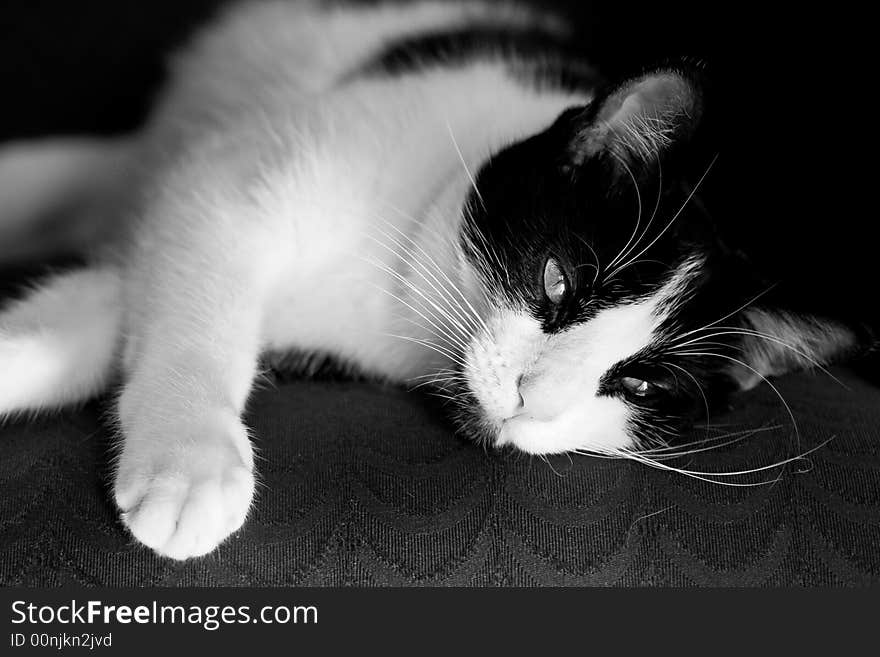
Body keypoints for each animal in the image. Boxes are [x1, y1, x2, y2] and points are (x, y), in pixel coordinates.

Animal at [0, 0, 868, 560]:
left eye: (644, 385)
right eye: (557, 280)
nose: (530, 399)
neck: (398, 297)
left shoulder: (158, 250)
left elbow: (95, 315)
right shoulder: (223, 190)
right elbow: (196, 312)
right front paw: (191, 463)